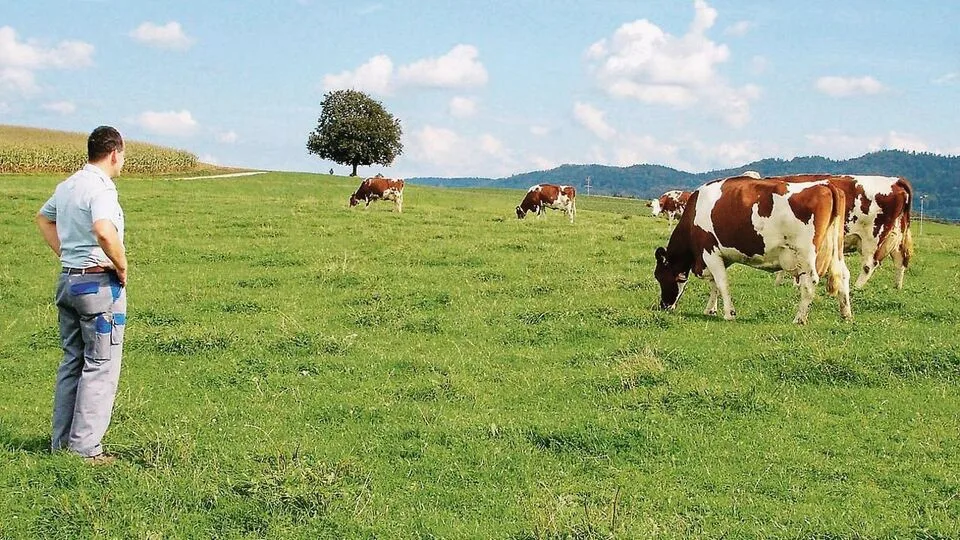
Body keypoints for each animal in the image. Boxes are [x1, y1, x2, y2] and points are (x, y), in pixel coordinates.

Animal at [653, 176, 852, 324]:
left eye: (659, 276)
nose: (663, 306)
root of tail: (826, 185)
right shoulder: (718, 256)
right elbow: (714, 283)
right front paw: (710, 309)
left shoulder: (709, 252)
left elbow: (722, 282)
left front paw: (729, 313)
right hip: (836, 250)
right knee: (843, 275)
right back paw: (846, 315)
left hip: (806, 253)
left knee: (810, 281)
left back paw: (799, 319)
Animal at [750, 174, 913, 289]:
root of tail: (895, 181)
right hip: (896, 234)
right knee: (900, 259)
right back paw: (897, 286)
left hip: (874, 236)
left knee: (869, 264)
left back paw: (857, 287)